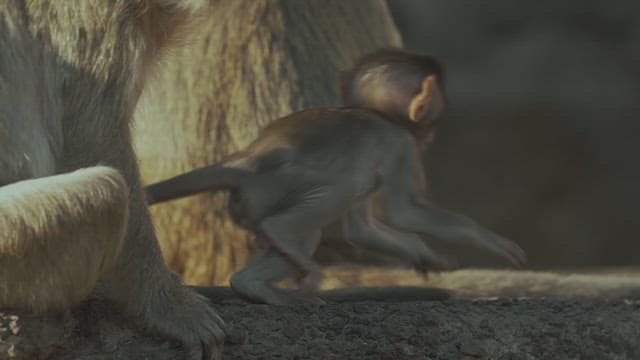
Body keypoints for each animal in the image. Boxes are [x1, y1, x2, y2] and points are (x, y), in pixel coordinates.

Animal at [148, 49, 528, 306]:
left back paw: (250, 285)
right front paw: (483, 237)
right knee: (334, 194)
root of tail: (247, 159)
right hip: (273, 187)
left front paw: (424, 255)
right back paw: (282, 240)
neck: (375, 113)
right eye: (434, 114)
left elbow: (361, 228)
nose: (431, 135)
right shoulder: (399, 143)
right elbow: (402, 212)